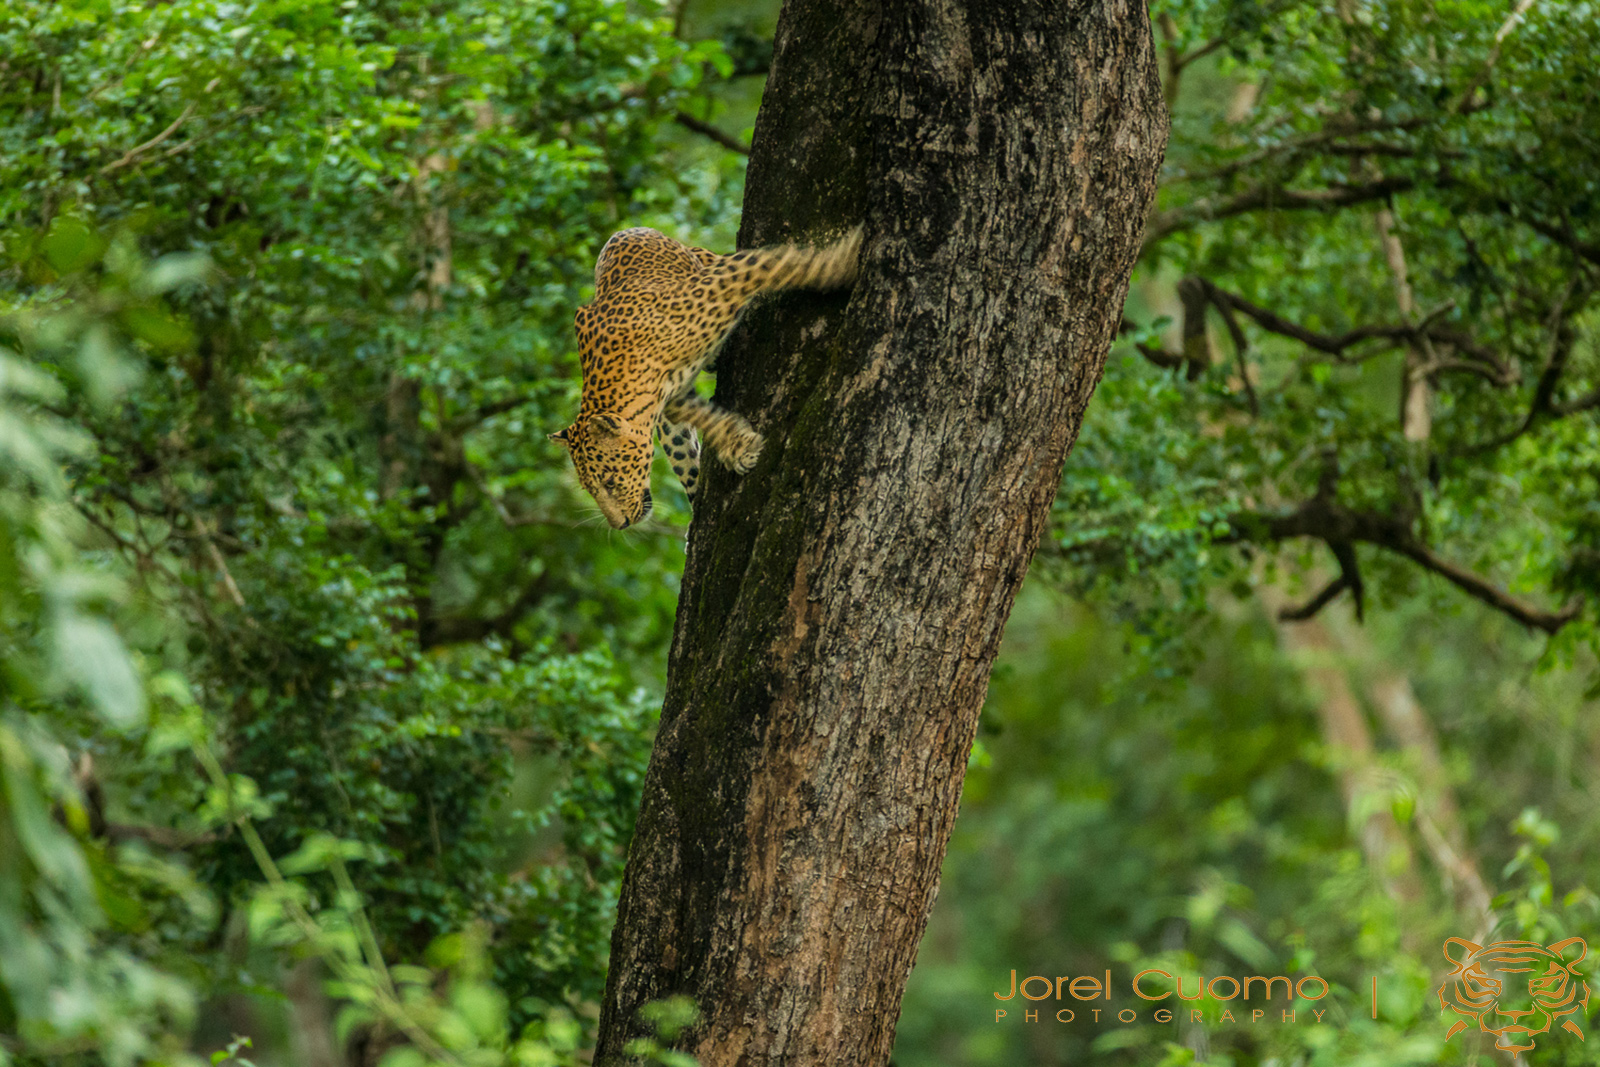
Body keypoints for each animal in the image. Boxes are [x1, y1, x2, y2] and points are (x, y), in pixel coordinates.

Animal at [551, 224, 864, 528]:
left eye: (610, 481)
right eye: (591, 489)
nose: (621, 525)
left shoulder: (725, 276)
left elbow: (779, 262)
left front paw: (844, 261)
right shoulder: (670, 394)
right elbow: (699, 414)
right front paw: (738, 445)